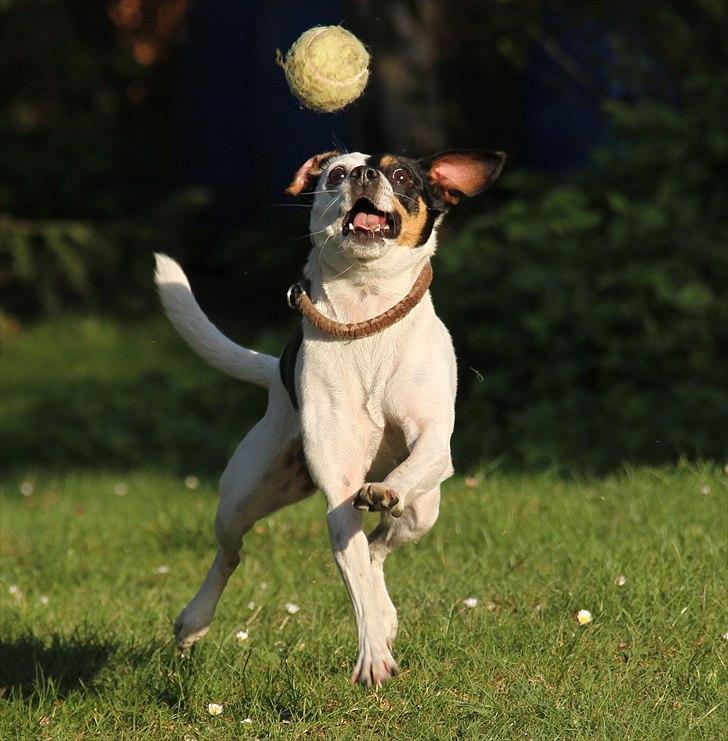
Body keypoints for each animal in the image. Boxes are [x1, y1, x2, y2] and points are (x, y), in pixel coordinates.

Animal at [154, 147, 506, 684]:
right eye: (335, 173)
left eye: (401, 174)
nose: (363, 173)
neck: (367, 318)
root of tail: (274, 374)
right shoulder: (338, 487)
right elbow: (354, 573)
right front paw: (373, 657)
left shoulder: (431, 442)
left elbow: (413, 465)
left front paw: (387, 489)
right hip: (243, 494)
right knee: (231, 554)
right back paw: (195, 621)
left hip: (423, 513)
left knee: (381, 547)